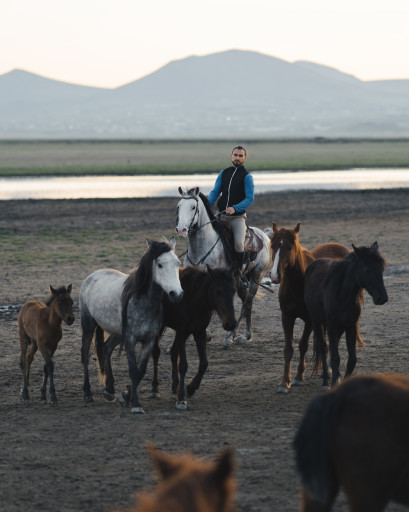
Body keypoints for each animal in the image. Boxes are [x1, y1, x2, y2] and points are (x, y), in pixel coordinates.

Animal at [79, 238, 182, 414]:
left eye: (178, 263)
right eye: (160, 265)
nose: (177, 294)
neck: (143, 302)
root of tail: (91, 276)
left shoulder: (148, 341)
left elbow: (141, 371)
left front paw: (125, 397)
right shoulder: (130, 340)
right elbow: (134, 371)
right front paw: (135, 404)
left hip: (116, 333)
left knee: (106, 348)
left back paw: (109, 390)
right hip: (88, 324)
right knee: (85, 353)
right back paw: (87, 393)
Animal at [175, 186, 270, 346]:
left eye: (193, 207)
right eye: (179, 206)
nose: (181, 230)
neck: (202, 246)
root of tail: (264, 236)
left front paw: (207, 334)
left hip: (257, 276)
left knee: (246, 304)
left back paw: (230, 337)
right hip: (241, 282)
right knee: (247, 303)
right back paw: (246, 335)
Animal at [268, 222, 350, 394]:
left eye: (290, 247)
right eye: (273, 246)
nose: (274, 276)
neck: (298, 283)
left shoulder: (310, 320)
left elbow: (303, 345)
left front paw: (299, 377)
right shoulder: (286, 316)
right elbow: (288, 348)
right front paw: (284, 382)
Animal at [304, 240, 388, 388]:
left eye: (381, 269)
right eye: (367, 269)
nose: (382, 298)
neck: (343, 295)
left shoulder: (350, 327)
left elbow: (352, 359)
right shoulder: (332, 326)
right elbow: (335, 357)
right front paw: (333, 383)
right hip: (317, 322)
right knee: (323, 348)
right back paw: (326, 380)